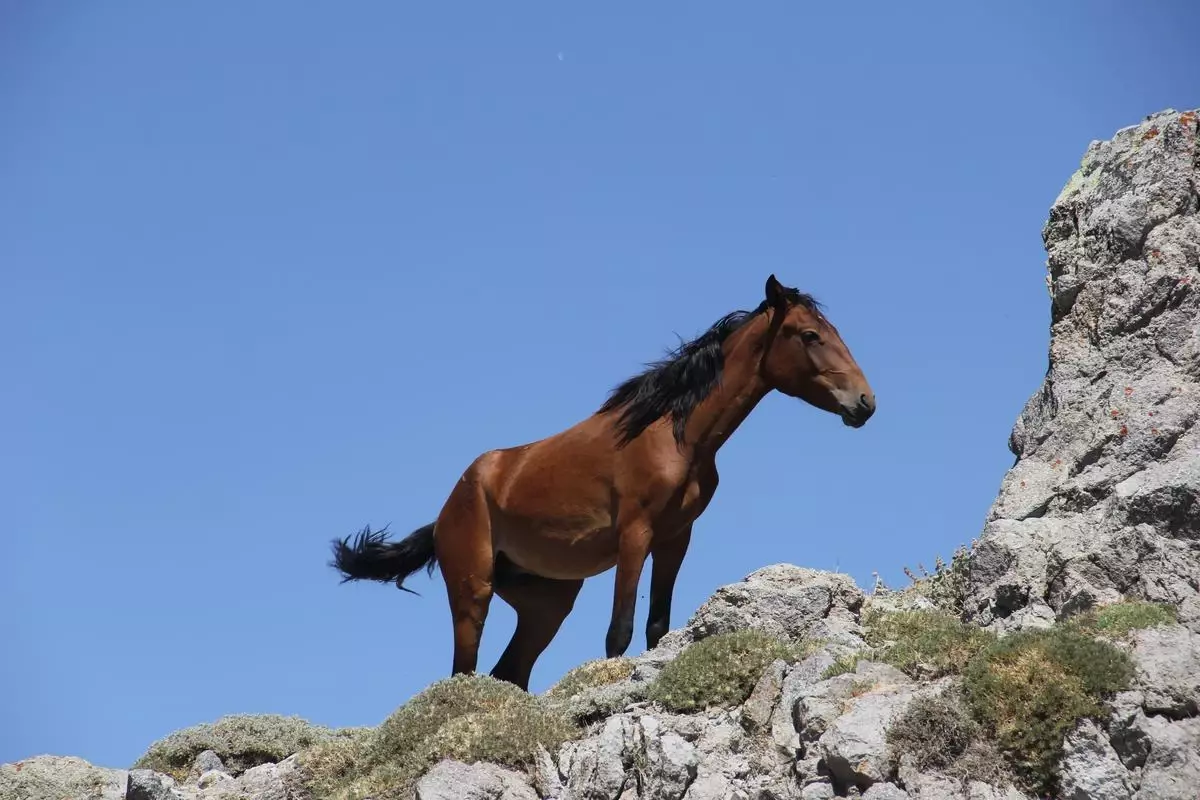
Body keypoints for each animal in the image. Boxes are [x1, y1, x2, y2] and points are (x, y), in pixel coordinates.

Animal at [328, 273, 873, 690]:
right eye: (809, 335)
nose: (865, 402)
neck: (673, 435)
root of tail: (446, 511)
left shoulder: (675, 539)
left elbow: (656, 626)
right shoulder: (635, 535)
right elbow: (620, 631)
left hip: (546, 605)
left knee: (510, 673)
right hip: (472, 593)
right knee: (464, 673)